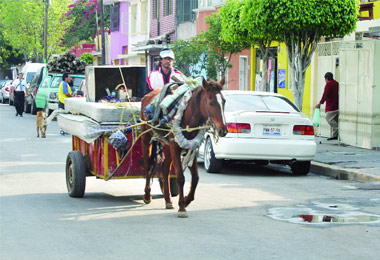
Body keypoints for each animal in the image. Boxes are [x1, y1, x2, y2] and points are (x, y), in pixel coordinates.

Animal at [141, 77, 227, 217]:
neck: (188, 116)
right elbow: (180, 177)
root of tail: (146, 96)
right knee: (148, 166)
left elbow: (196, 178)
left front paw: (187, 200)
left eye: (224, 101)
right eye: (211, 102)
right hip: (146, 138)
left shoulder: (191, 148)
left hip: (168, 145)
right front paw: (182, 207)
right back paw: (147, 195)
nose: (223, 130)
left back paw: (168, 200)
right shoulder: (176, 147)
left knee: (164, 168)